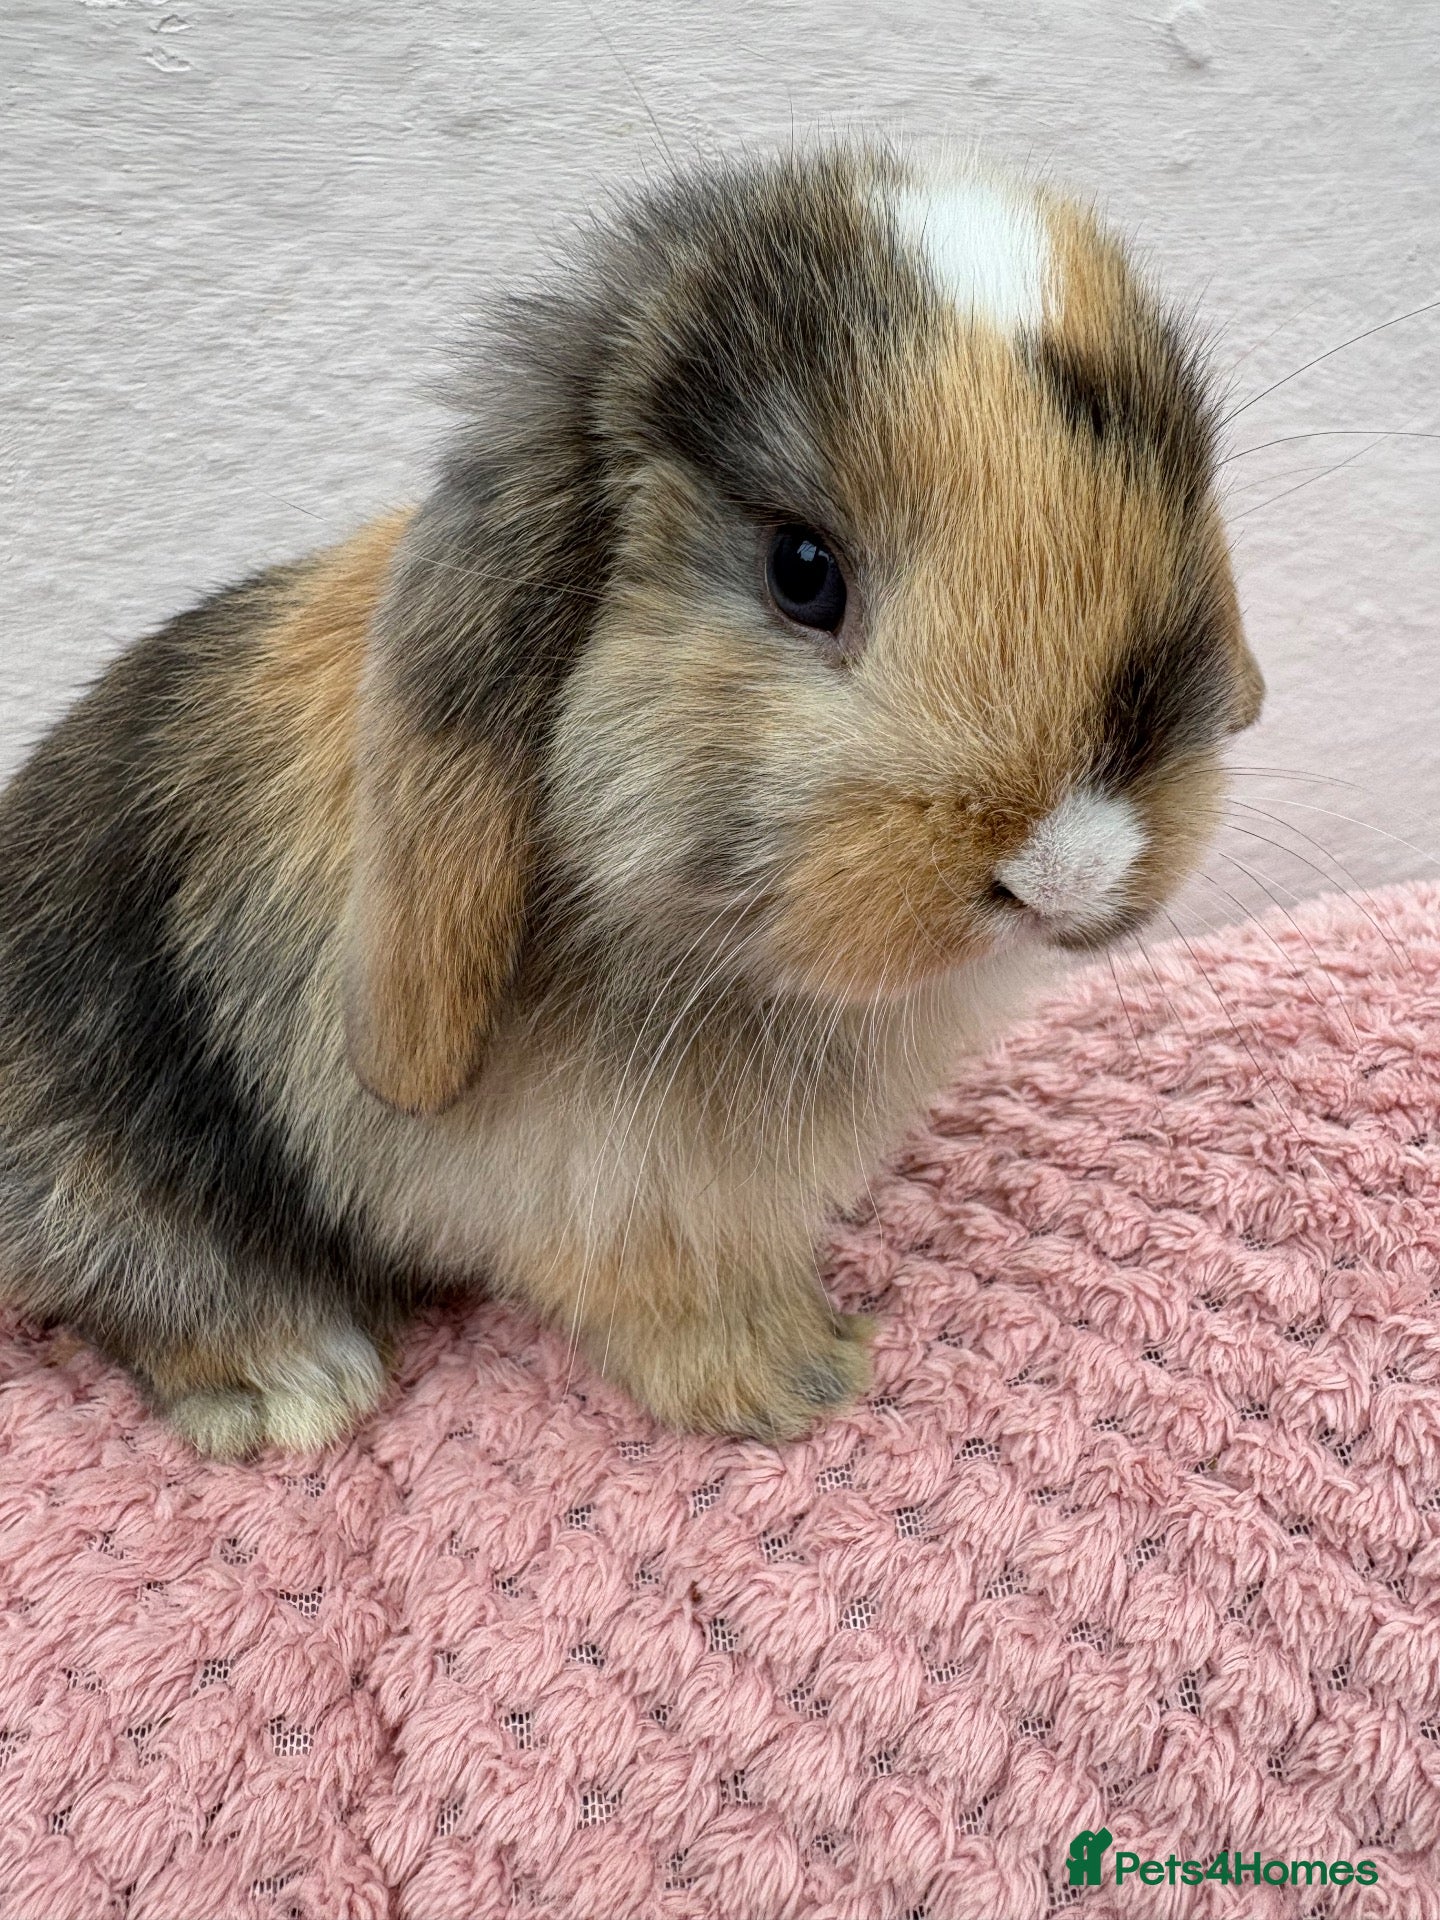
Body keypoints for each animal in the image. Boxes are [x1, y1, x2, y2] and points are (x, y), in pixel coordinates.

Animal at [0, 143, 1264, 1457]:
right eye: (802, 572)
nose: (1072, 861)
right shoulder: (603, 1191)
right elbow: (670, 1294)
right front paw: (803, 1380)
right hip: (106, 1173)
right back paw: (293, 1385)